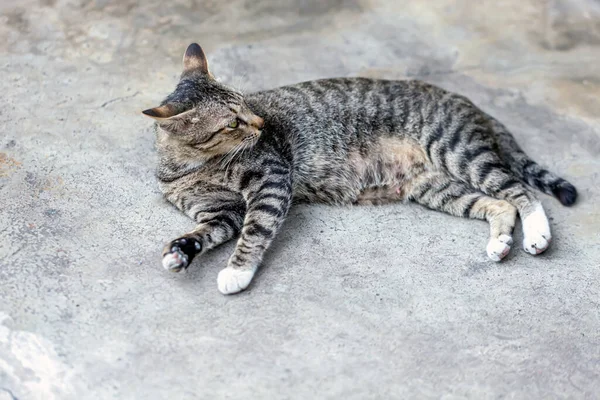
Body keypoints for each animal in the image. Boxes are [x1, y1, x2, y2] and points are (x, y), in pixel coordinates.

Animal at [143, 43, 580, 294]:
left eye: (245, 104)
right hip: (434, 187)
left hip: (459, 151)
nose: (261, 124)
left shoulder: (271, 180)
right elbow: (205, 232)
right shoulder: (220, 211)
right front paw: (182, 252)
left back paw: (537, 235)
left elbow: (256, 230)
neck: (192, 166)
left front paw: (238, 272)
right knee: (499, 203)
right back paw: (500, 243)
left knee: (522, 193)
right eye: (232, 123)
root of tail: (463, 99)